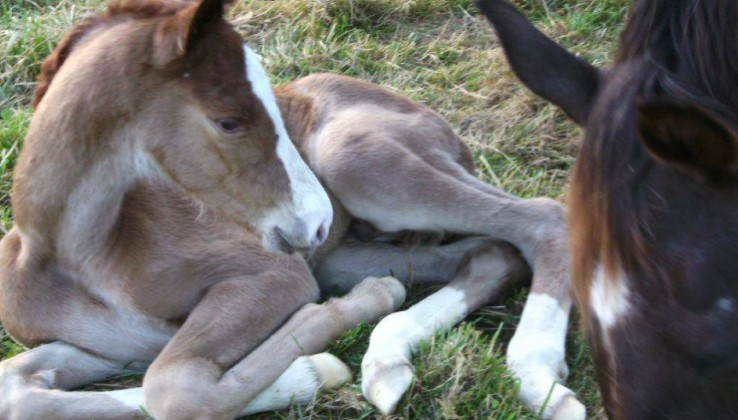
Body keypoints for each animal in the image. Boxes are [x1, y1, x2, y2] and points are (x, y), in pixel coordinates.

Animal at [0, 0, 576, 420]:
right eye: (229, 120)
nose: (317, 219)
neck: (81, 258)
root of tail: (446, 132)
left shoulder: (272, 275)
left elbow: (171, 387)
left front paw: (320, 358)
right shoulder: (119, 345)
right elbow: (19, 391)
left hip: (354, 160)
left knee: (542, 218)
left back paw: (539, 378)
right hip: (345, 253)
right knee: (491, 252)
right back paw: (387, 363)